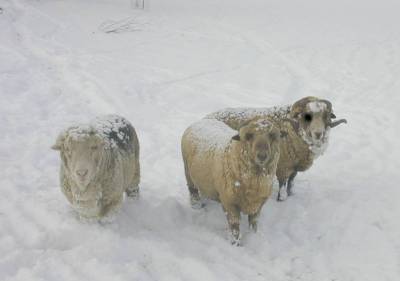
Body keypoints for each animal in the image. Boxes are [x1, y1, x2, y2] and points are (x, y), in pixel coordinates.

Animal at [206, 95, 346, 200]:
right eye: (307, 116)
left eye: (325, 116)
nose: (318, 133)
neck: (293, 130)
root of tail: (206, 118)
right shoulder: (283, 166)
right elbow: (283, 184)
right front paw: (281, 198)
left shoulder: (294, 166)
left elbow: (291, 181)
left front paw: (291, 194)